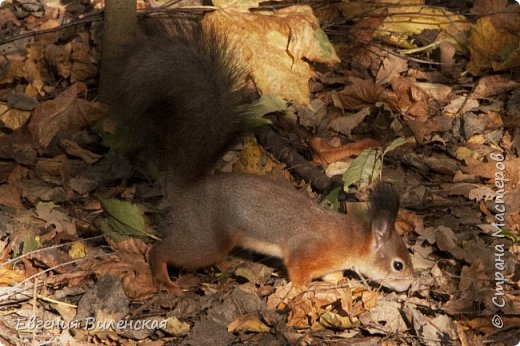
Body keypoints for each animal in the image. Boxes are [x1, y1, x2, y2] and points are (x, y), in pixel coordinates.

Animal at [108, 17, 414, 296]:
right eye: (398, 264)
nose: (411, 283)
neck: (351, 240)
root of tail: (188, 190)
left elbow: (331, 274)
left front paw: (337, 281)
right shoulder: (307, 251)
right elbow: (298, 268)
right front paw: (298, 290)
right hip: (206, 239)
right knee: (161, 250)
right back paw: (166, 280)